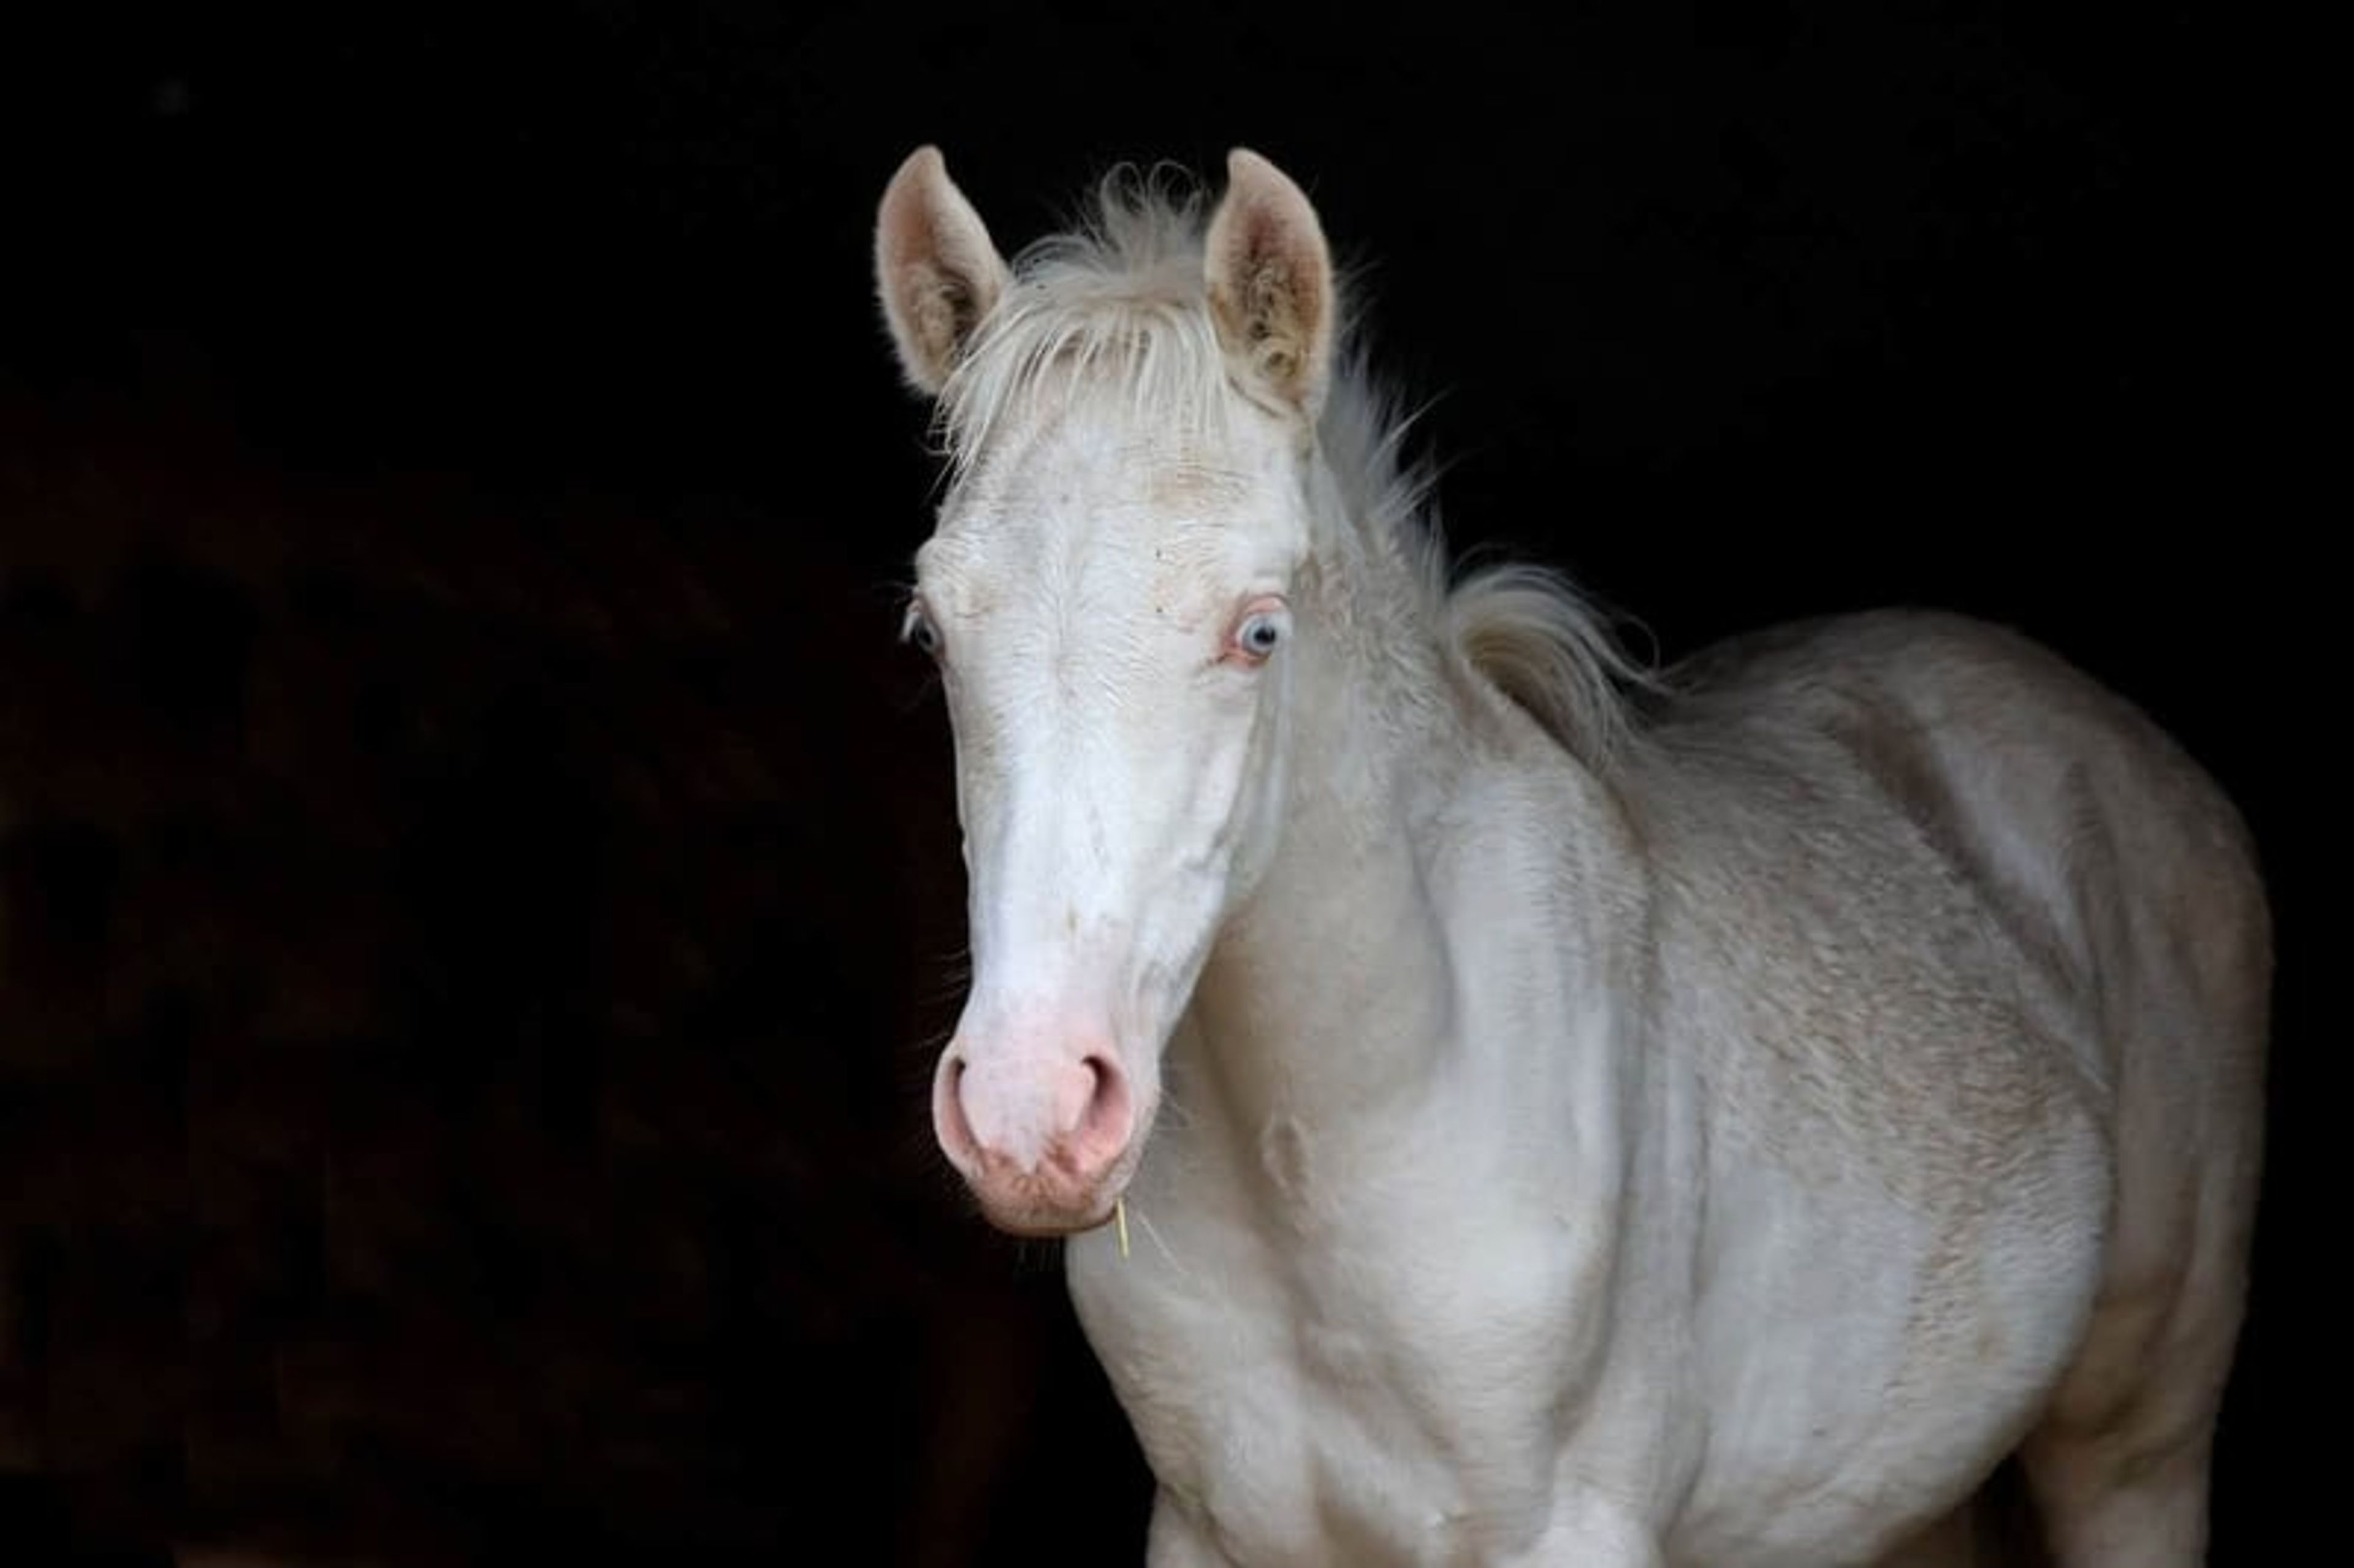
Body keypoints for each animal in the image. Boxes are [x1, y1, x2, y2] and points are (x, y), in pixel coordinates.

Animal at [869, 144, 2269, 1566]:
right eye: (931, 632)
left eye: (1258, 630)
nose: (1031, 1111)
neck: (1349, 1138)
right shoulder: (1207, 1533)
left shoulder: (1568, 1528)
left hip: (2136, 1450)